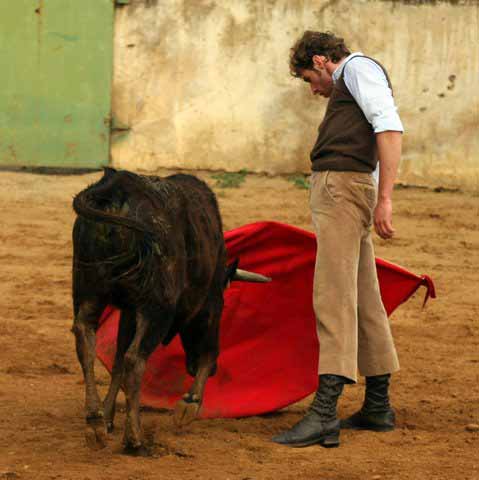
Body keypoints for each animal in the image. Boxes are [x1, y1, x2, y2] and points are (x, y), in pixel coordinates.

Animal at [71, 168, 270, 454]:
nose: (212, 371)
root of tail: (119, 186)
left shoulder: (129, 309)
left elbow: (117, 359)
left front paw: (108, 418)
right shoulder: (210, 302)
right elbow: (209, 350)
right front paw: (190, 403)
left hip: (89, 290)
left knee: (86, 339)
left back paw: (95, 423)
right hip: (158, 307)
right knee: (135, 359)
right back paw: (135, 438)